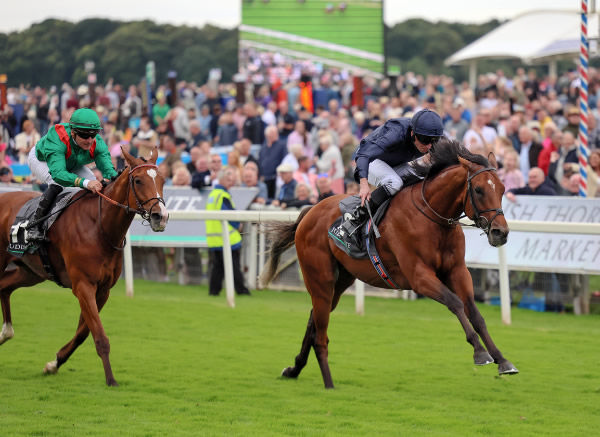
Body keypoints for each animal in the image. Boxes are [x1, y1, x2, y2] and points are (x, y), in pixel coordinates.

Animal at [0, 147, 168, 384]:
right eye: (138, 180)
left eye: (162, 179)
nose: (161, 216)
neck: (99, 227)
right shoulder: (83, 286)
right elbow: (99, 335)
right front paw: (111, 380)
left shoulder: (103, 290)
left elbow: (84, 333)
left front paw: (54, 364)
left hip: (30, 271)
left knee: (4, 287)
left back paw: (5, 333)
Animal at [262, 141, 520, 388]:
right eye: (478, 189)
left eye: (502, 189)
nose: (501, 232)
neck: (433, 218)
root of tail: (310, 211)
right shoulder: (419, 277)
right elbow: (455, 303)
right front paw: (480, 352)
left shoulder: (457, 271)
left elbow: (475, 313)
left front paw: (502, 360)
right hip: (319, 277)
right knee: (319, 322)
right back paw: (320, 378)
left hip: (340, 279)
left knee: (314, 318)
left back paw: (294, 369)